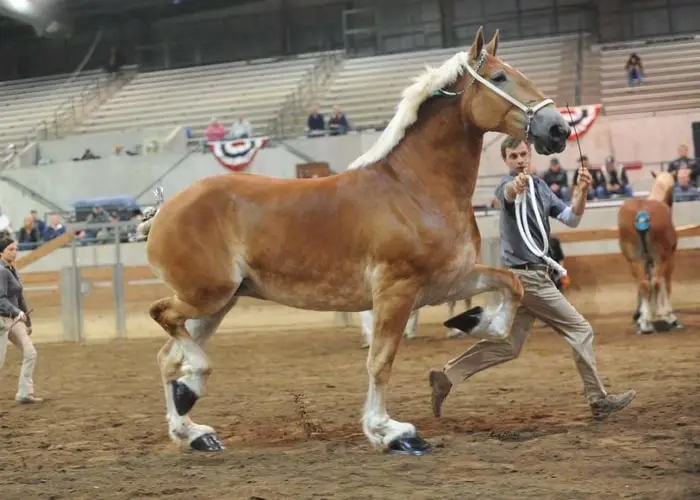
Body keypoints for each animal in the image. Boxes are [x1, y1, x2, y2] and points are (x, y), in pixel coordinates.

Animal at [141, 28, 568, 458]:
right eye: (499, 77)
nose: (558, 129)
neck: (414, 188)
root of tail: (162, 210)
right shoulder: (396, 291)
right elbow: (380, 361)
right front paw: (392, 432)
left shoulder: (448, 281)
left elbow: (510, 288)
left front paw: (472, 320)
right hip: (207, 295)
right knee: (163, 318)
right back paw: (190, 390)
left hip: (219, 302)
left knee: (166, 356)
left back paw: (194, 431)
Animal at [616, 170, 684, 334]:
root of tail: (642, 215)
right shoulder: (668, 259)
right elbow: (665, 284)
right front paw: (667, 314)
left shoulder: (647, 261)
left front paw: (642, 315)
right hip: (661, 259)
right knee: (657, 282)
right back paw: (661, 316)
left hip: (634, 260)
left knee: (644, 284)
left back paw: (646, 322)